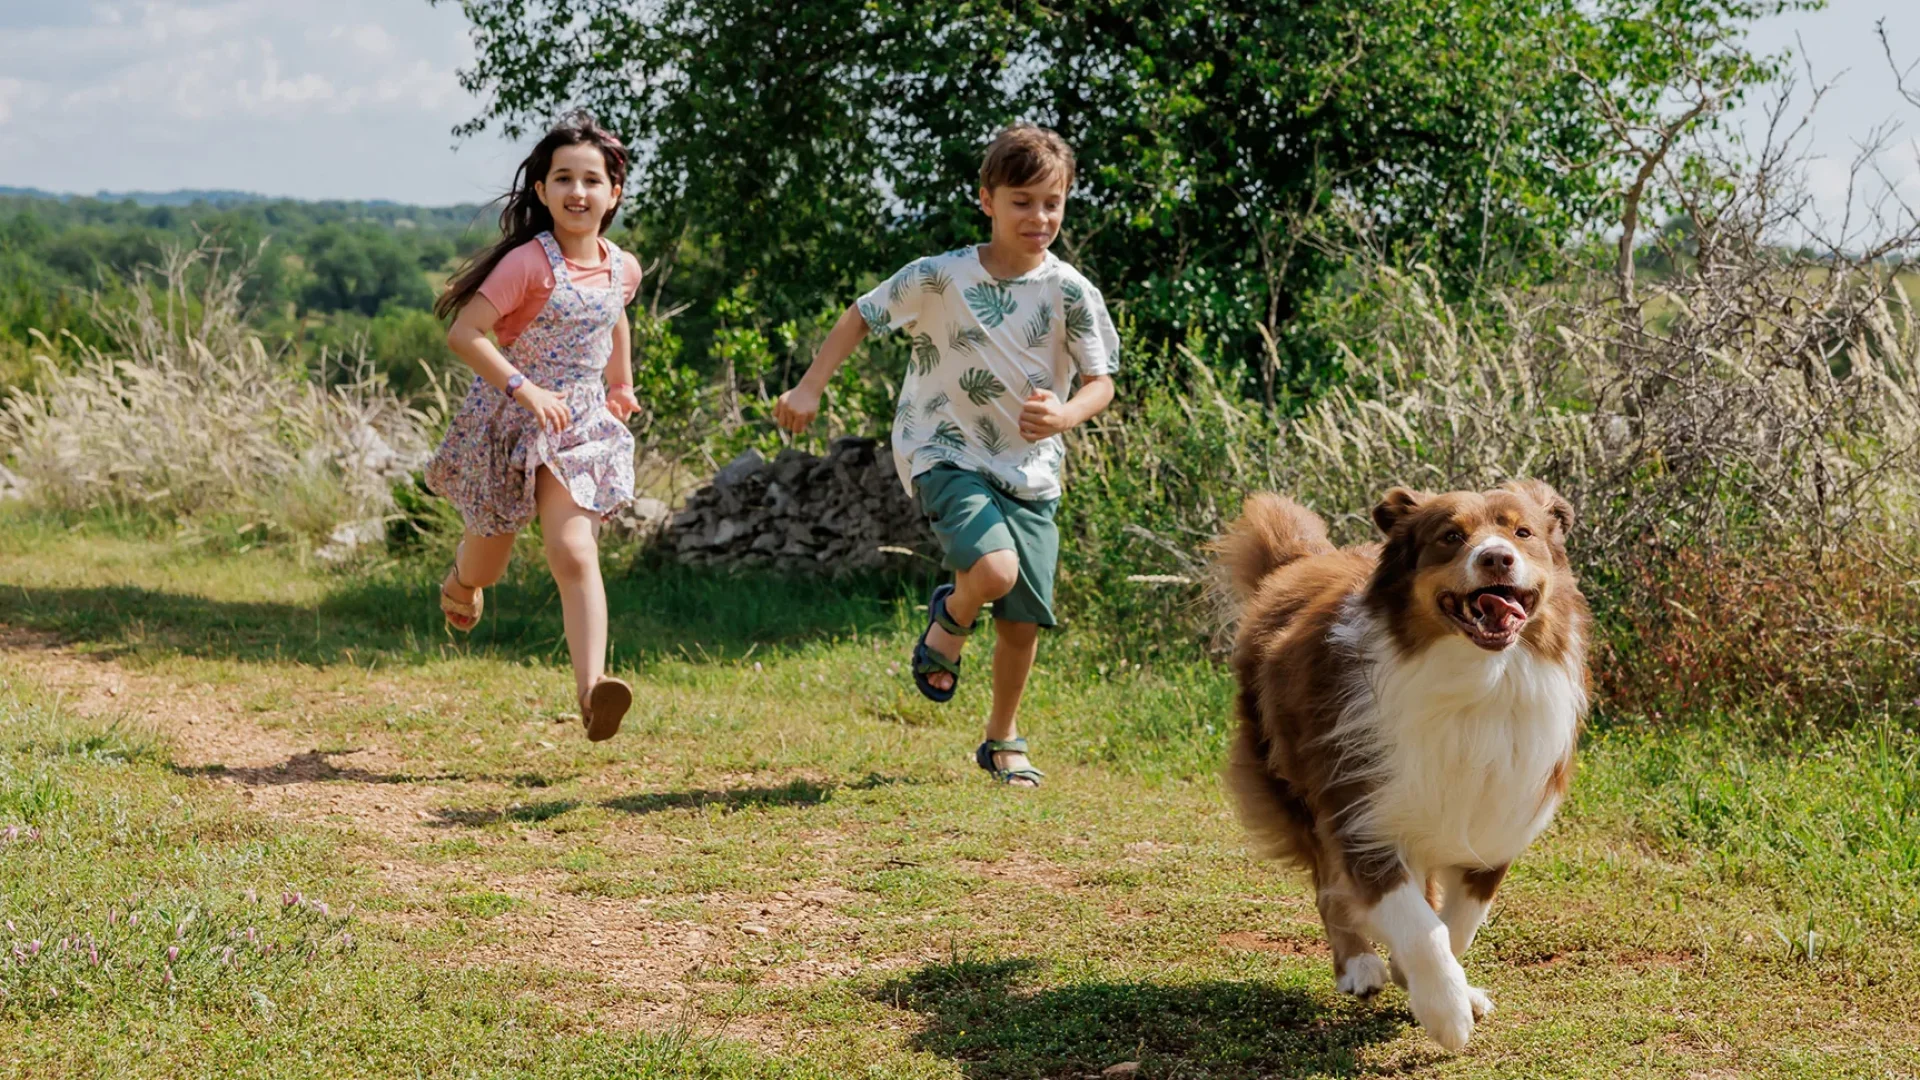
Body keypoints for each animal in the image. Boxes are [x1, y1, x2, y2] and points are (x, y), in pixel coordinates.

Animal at [1213, 476, 1589, 1045]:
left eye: (1522, 532)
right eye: (1451, 536)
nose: (1497, 558)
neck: (1477, 680)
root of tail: (1299, 561)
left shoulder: (1497, 817)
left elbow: (1457, 924)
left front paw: (1433, 985)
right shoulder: (1361, 810)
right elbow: (1417, 924)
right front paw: (1444, 1012)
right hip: (1292, 776)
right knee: (1327, 885)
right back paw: (1360, 966)